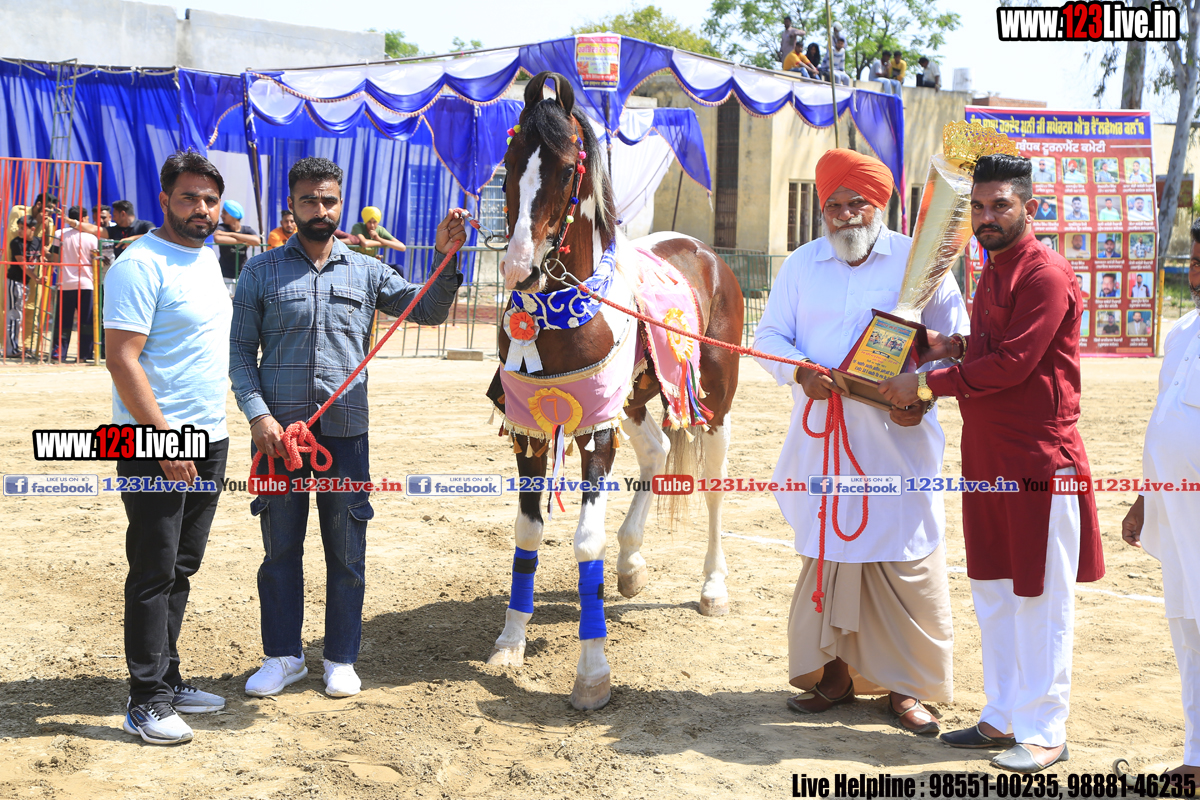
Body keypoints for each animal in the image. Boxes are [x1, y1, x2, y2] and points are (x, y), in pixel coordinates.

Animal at [485, 71, 744, 710]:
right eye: (509, 163)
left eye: (564, 168)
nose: (521, 268)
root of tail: (705, 252)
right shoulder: (531, 433)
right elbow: (528, 531)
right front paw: (510, 641)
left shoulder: (594, 434)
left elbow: (584, 542)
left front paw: (592, 674)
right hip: (633, 399)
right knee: (656, 451)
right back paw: (631, 560)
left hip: (713, 404)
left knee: (712, 487)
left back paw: (712, 586)